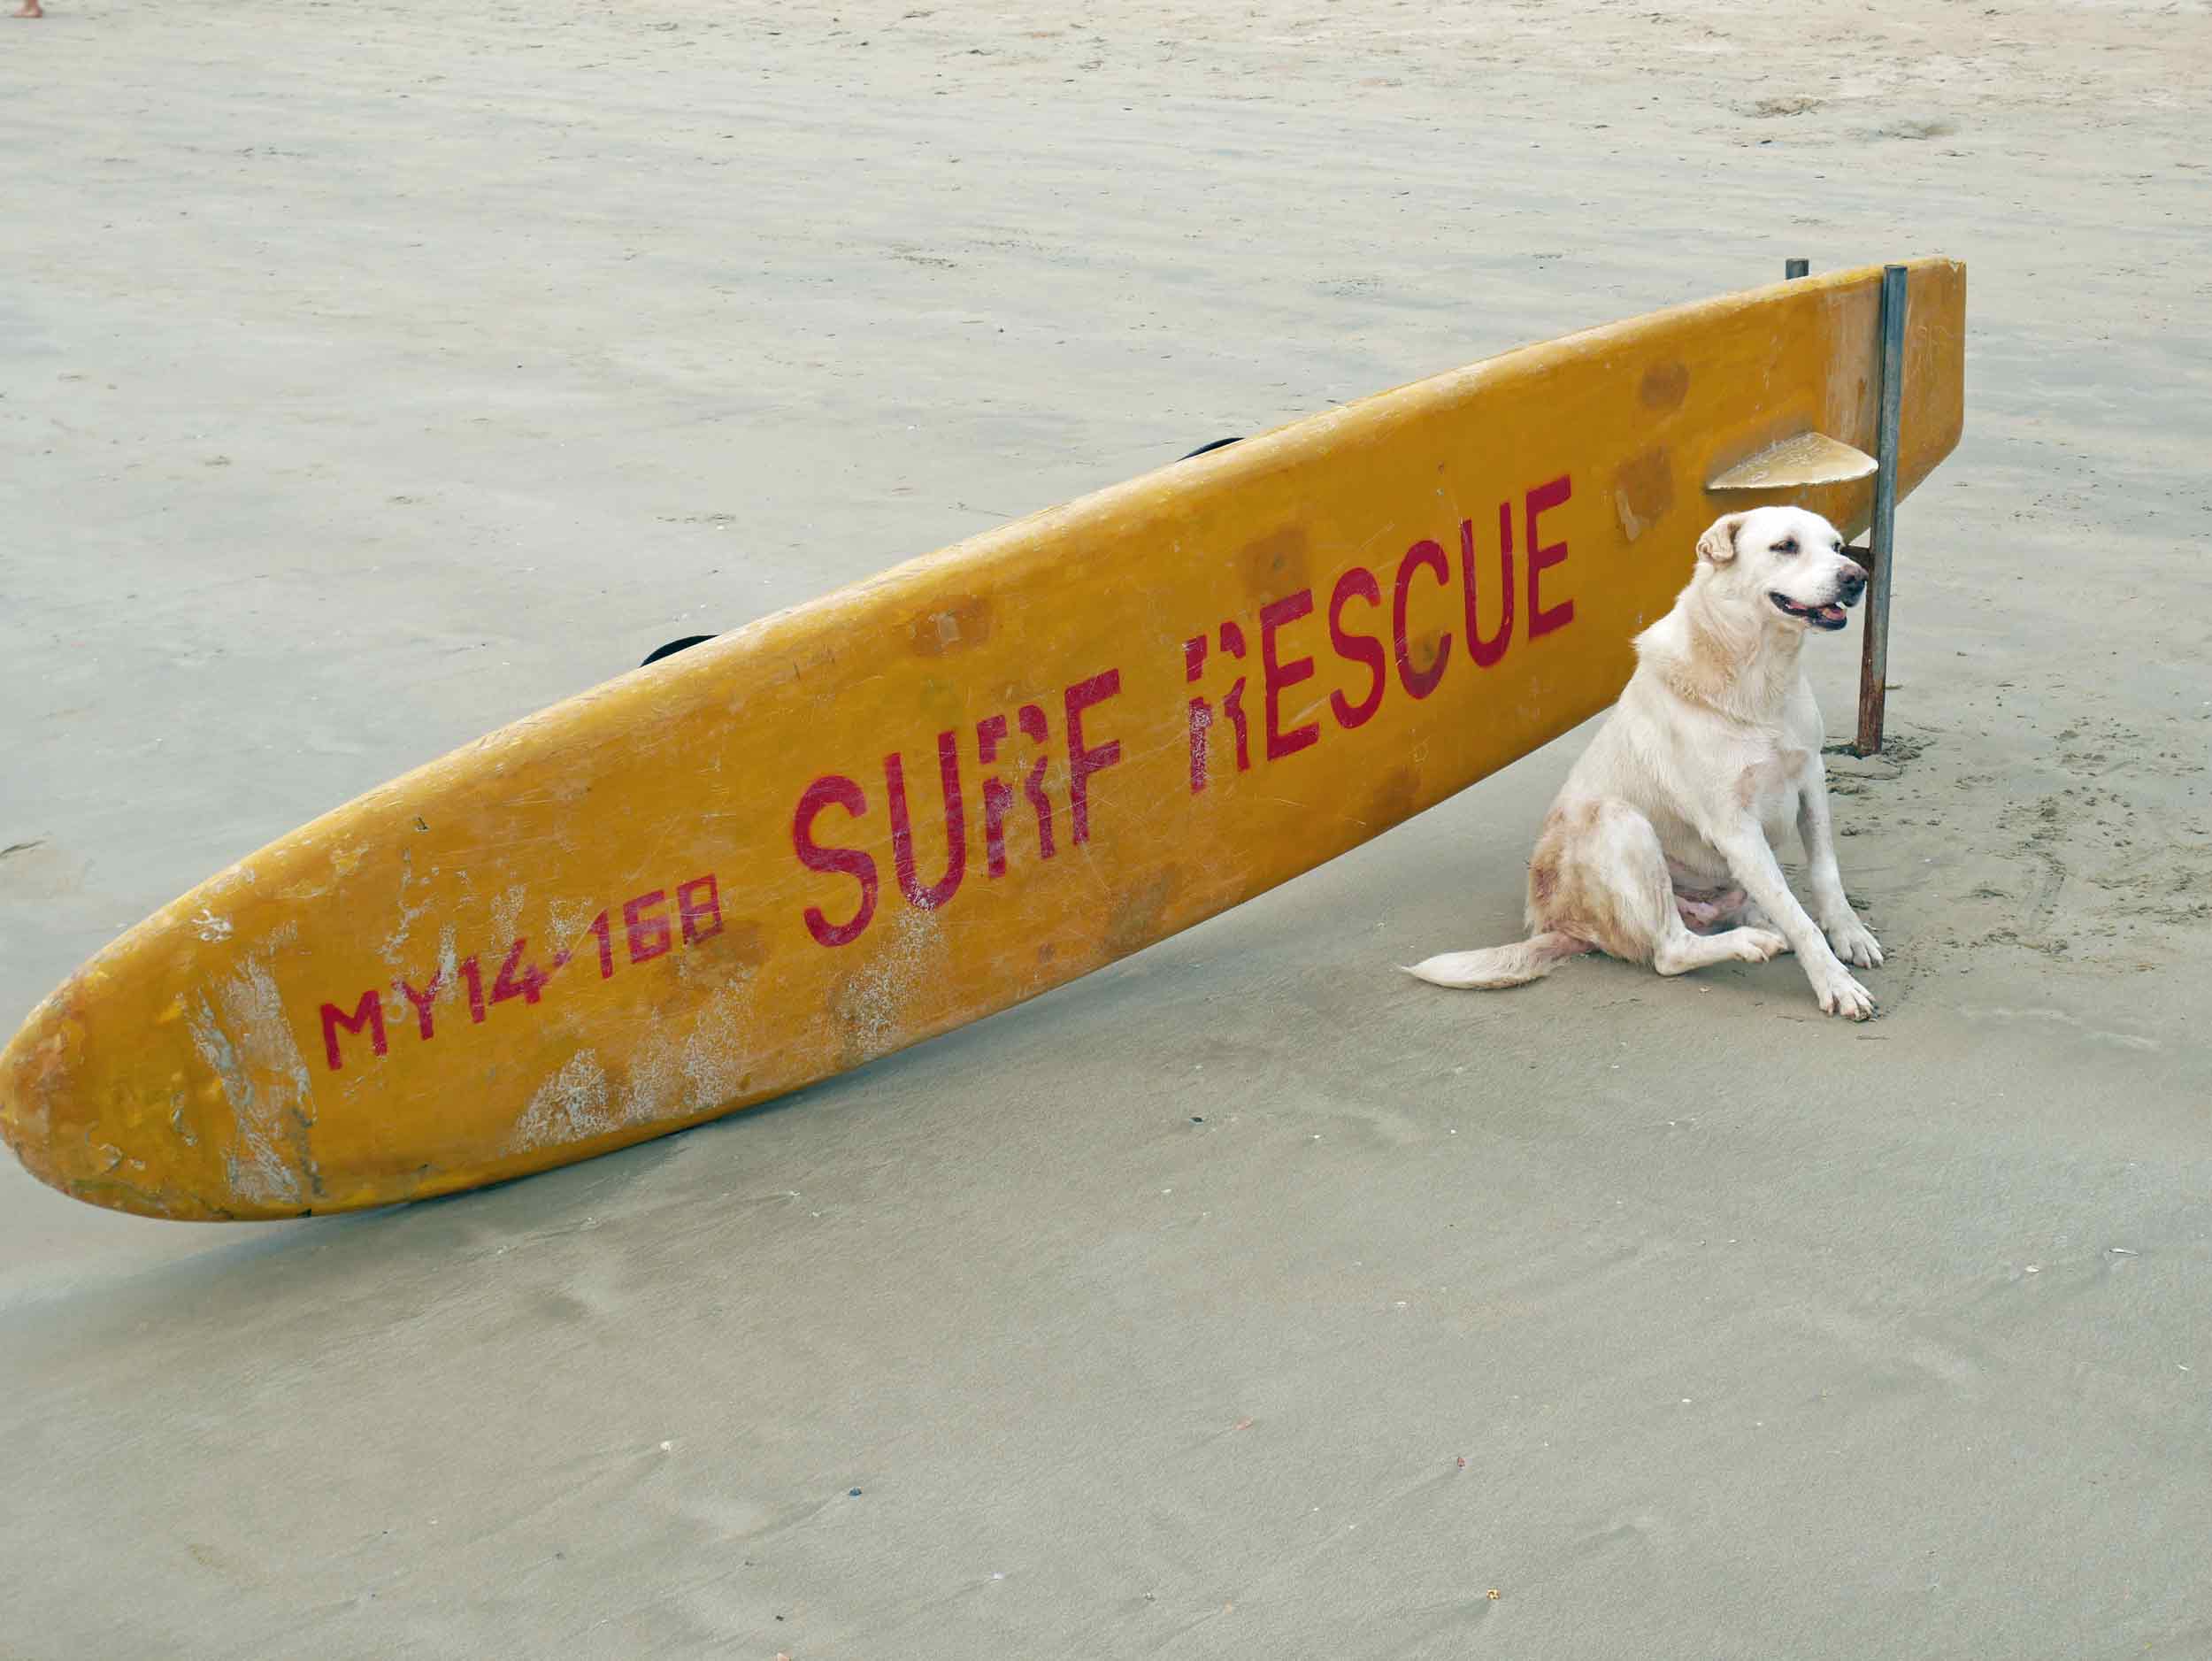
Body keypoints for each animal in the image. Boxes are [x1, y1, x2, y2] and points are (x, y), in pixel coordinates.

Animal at [1416, 499, 1885, 1021]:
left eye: (1838, 546)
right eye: (1785, 546)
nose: (1857, 577)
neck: (1757, 677)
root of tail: (1556, 925)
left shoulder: (1810, 779)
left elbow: (1826, 873)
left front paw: (1849, 934)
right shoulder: (1735, 828)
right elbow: (1797, 915)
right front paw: (1834, 982)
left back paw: (1761, 926)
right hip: (1619, 821)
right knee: (1670, 950)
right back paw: (1751, 941)